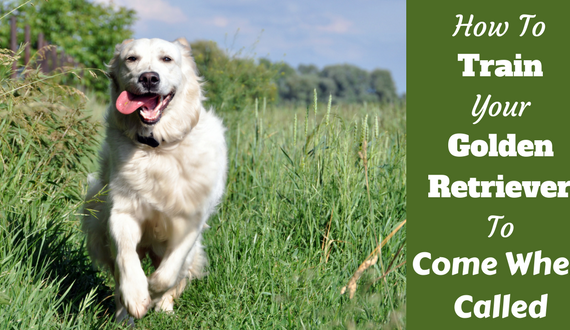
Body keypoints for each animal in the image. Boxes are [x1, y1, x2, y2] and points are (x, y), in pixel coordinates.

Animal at [82, 38, 226, 322]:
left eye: (166, 59)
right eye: (131, 59)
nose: (149, 78)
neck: (157, 147)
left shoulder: (190, 220)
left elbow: (169, 273)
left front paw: (154, 293)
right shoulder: (122, 212)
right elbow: (126, 258)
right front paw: (137, 297)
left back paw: (164, 308)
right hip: (97, 223)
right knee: (118, 276)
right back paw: (123, 316)